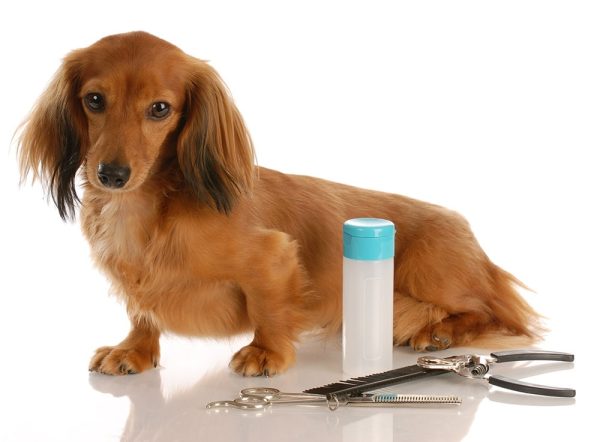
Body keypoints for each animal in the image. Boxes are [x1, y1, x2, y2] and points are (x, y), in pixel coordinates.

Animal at [17, 32, 540, 376]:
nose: (112, 174)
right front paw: (134, 350)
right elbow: (140, 311)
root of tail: (480, 250)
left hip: (429, 269)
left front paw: (265, 352)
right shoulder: (135, 282)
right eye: (94, 99)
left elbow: (268, 307)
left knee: (495, 313)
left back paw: (442, 332)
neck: (147, 209)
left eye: (160, 109)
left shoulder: (273, 256)